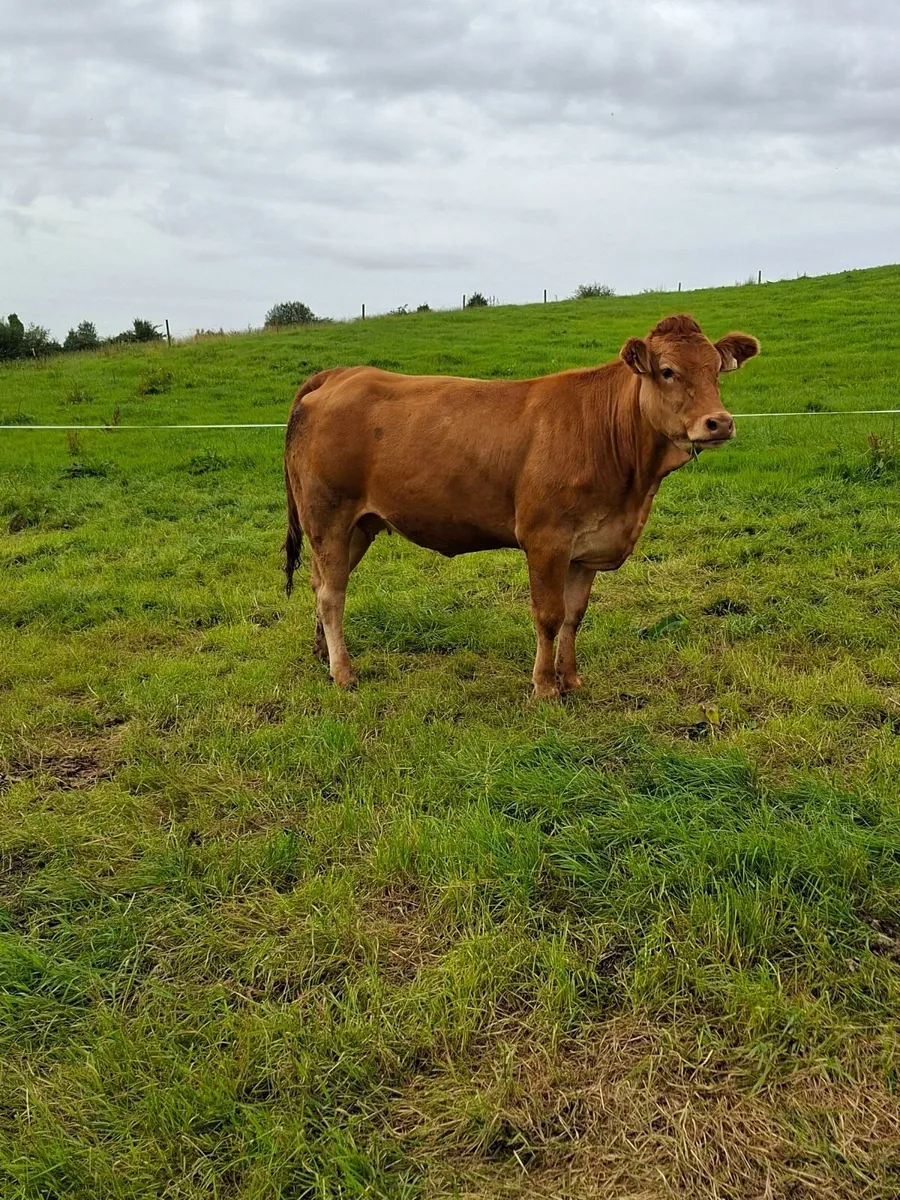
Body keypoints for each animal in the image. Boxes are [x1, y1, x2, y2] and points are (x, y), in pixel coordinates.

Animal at [283, 314, 759, 699]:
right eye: (667, 371)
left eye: (716, 370)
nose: (719, 422)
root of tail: (341, 374)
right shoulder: (546, 540)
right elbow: (548, 615)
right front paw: (545, 686)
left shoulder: (586, 547)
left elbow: (574, 616)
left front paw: (571, 678)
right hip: (328, 517)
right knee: (332, 594)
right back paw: (344, 674)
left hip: (358, 526)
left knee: (320, 582)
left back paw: (322, 653)